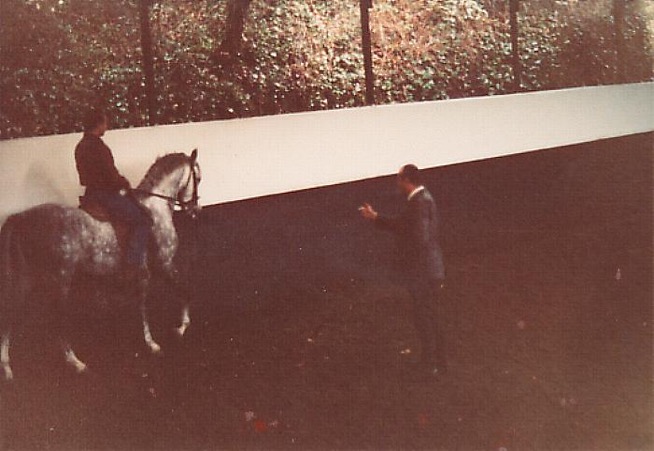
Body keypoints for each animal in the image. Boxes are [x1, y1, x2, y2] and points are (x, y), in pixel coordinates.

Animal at [0, 150, 201, 380]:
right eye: (198, 178)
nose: (195, 209)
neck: (154, 208)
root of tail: (21, 217)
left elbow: (140, 304)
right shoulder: (163, 264)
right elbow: (181, 290)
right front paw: (175, 331)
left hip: (26, 280)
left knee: (10, 313)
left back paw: (7, 367)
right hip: (60, 280)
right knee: (57, 320)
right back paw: (75, 362)